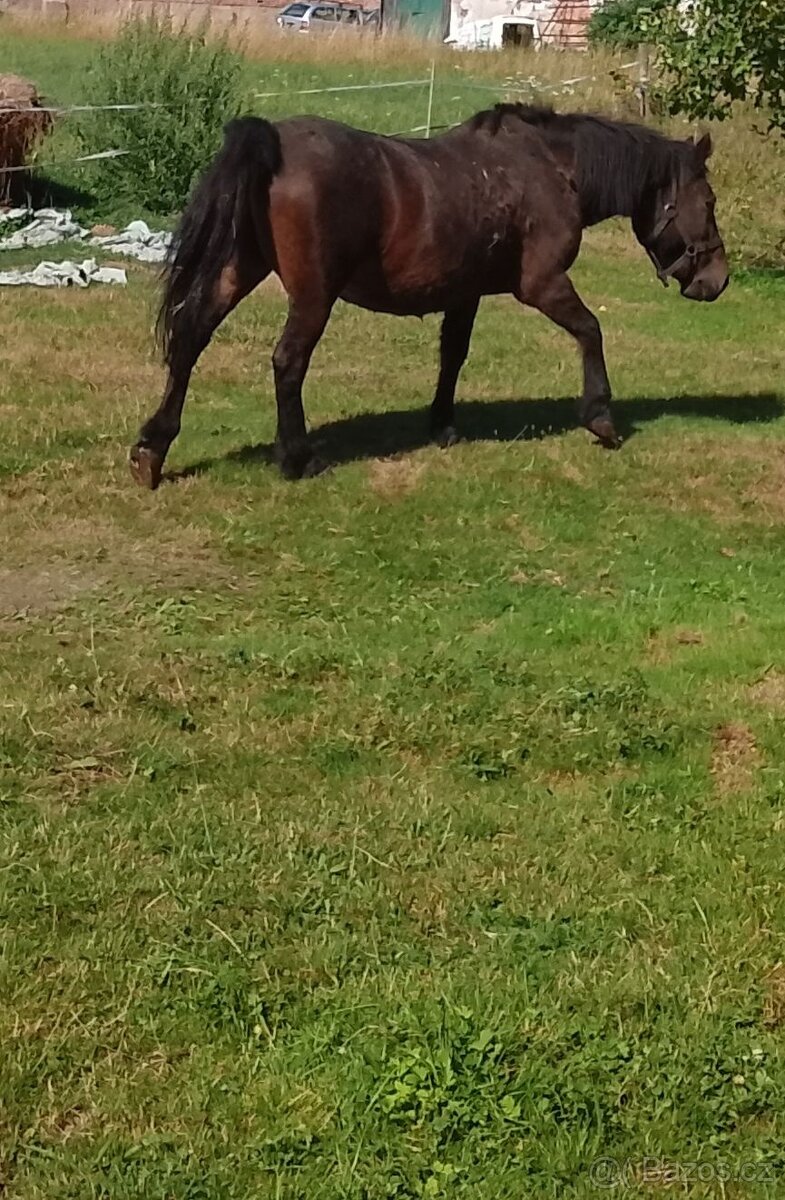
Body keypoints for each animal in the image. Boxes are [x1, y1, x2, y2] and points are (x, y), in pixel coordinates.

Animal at [130, 104, 728, 490]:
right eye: (709, 201)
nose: (717, 279)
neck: (549, 167)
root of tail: (272, 142)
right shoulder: (543, 285)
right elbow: (590, 331)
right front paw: (600, 417)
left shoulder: (465, 294)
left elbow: (453, 356)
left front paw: (442, 423)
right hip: (313, 296)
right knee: (287, 362)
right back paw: (297, 458)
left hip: (238, 269)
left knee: (190, 339)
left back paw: (152, 450)